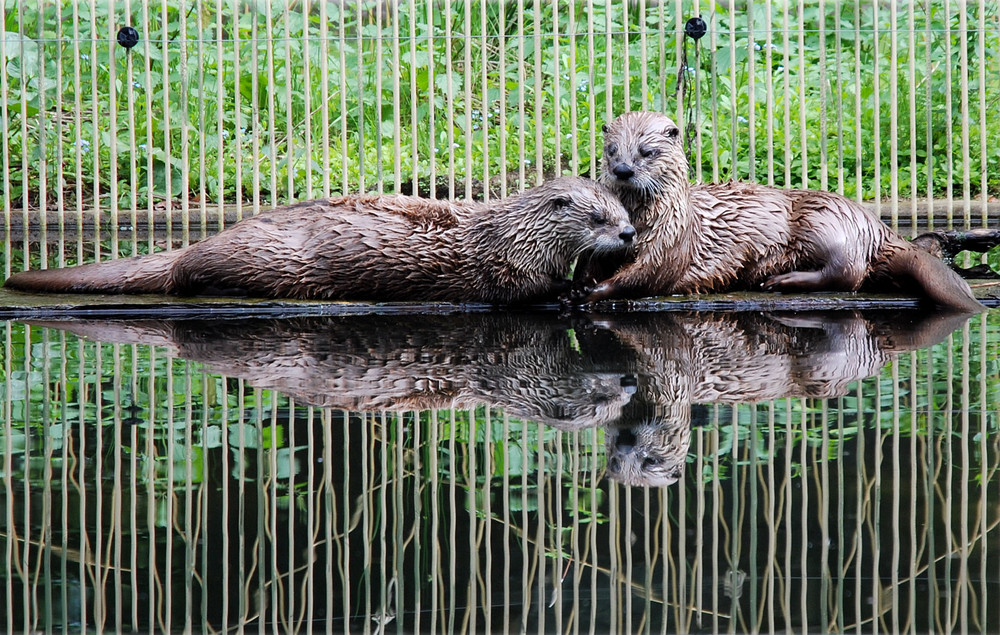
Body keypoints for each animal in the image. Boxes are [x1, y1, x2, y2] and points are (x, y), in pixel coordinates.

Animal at [584, 112, 988, 316]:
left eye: (647, 151)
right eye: (611, 149)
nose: (623, 170)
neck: (642, 220)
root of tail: (878, 229)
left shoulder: (672, 242)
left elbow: (647, 274)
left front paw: (596, 290)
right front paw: (581, 280)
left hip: (822, 220)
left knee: (849, 273)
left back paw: (782, 280)